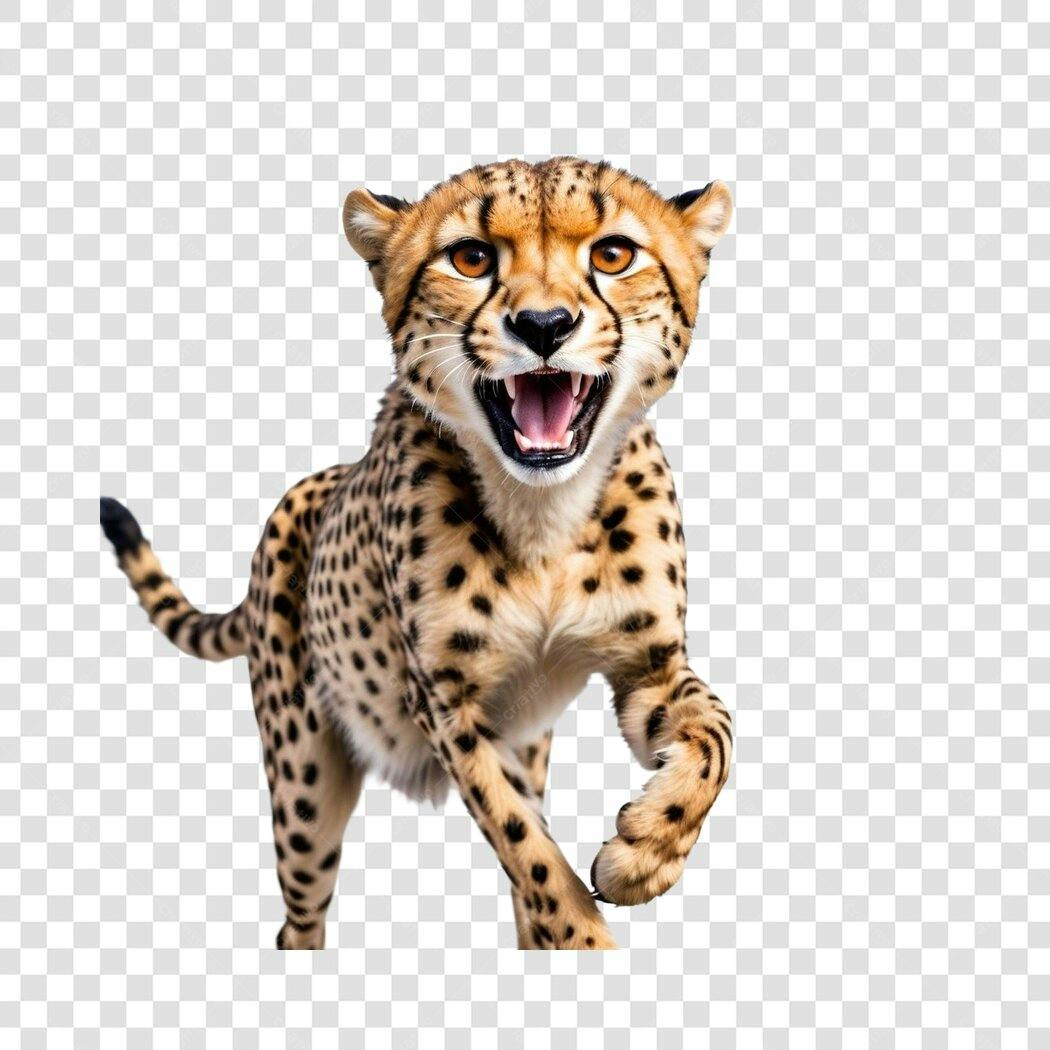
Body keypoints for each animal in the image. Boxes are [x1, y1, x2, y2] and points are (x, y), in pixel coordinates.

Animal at [100, 157, 734, 950]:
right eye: (472, 258)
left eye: (613, 255)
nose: (544, 326)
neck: (541, 518)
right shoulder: (446, 705)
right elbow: (529, 849)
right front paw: (587, 932)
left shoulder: (645, 667)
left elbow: (716, 737)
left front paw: (645, 852)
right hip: (304, 790)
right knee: (300, 918)